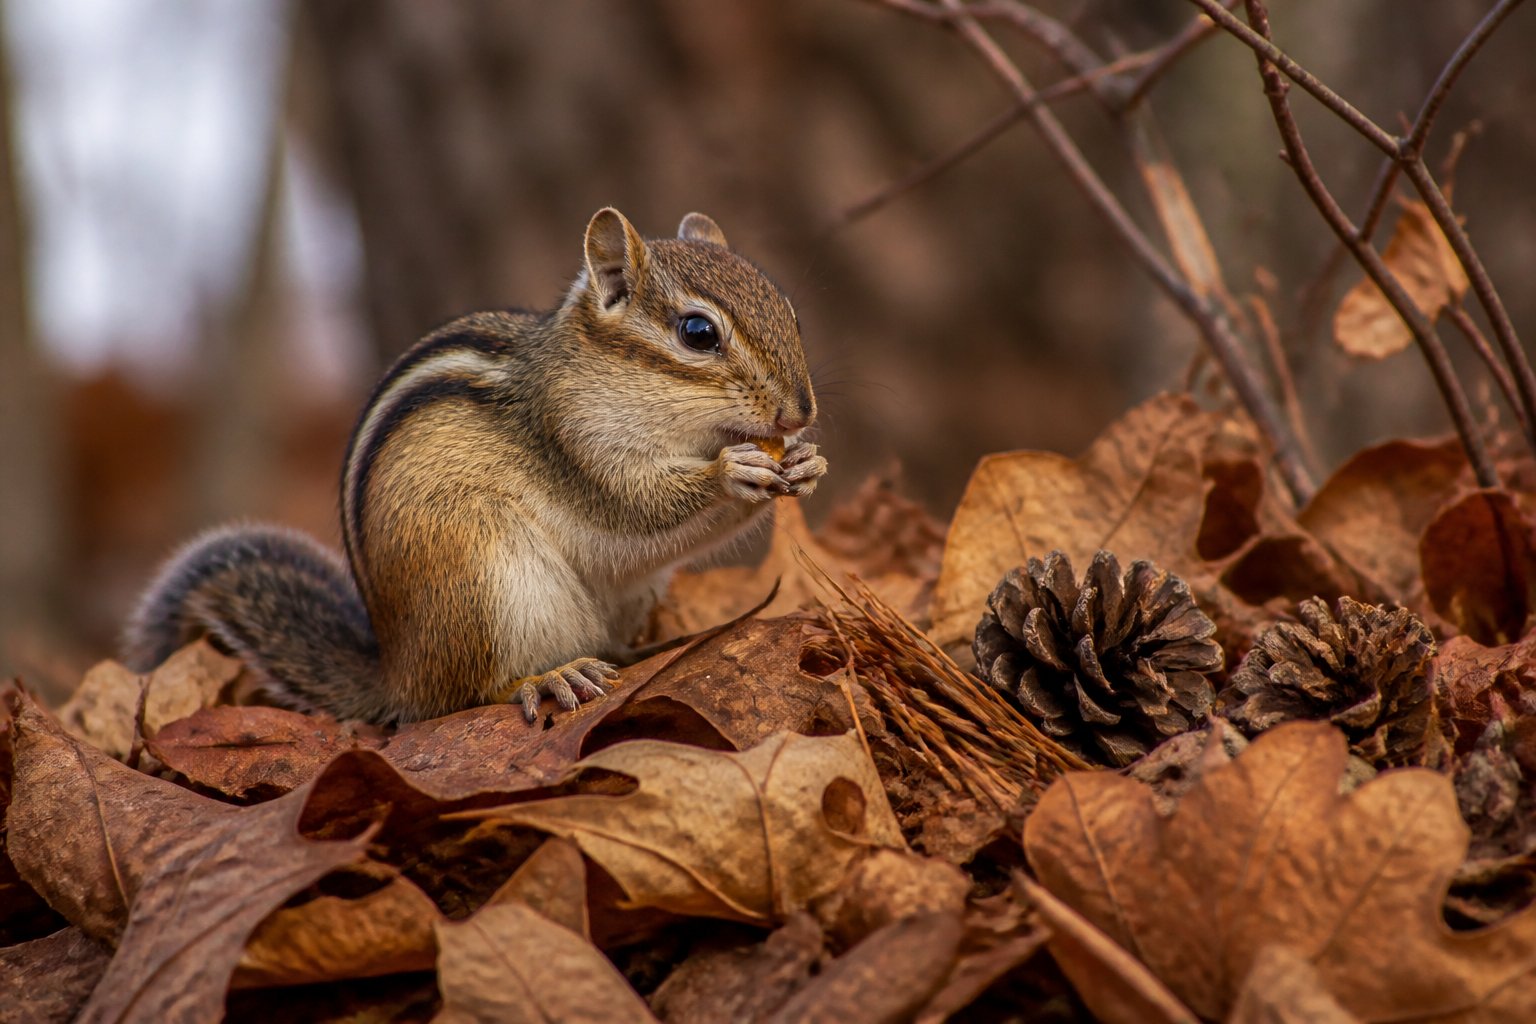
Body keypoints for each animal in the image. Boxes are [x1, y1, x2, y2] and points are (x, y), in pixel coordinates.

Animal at [122, 208, 827, 724]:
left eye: (791, 312)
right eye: (698, 333)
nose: (800, 412)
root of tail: (400, 674)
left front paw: (806, 463)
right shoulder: (573, 442)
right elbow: (637, 506)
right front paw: (731, 473)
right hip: (483, 574)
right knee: (468, 694)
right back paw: (549, 677)